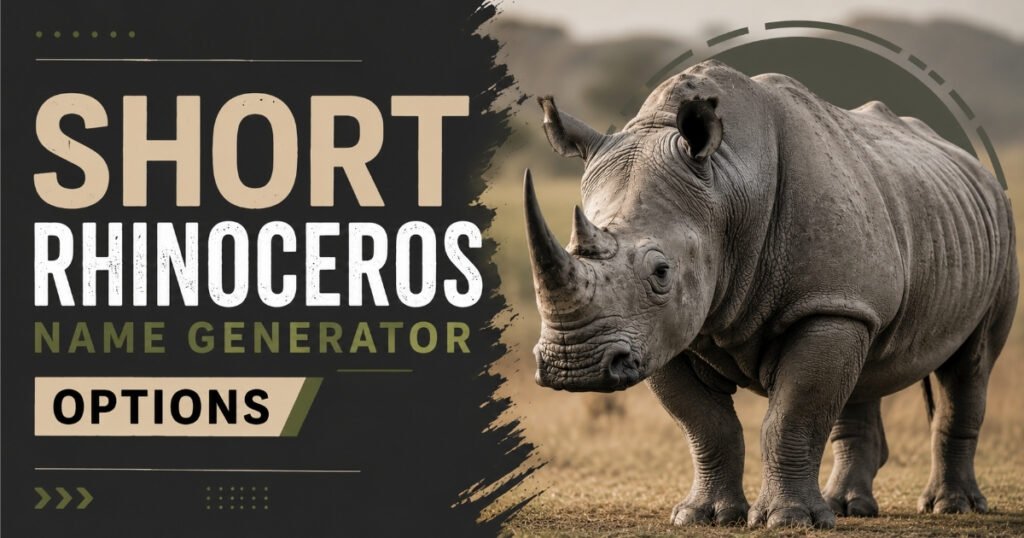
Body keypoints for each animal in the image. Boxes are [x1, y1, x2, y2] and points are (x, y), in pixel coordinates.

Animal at [525, 59, 1018, 529]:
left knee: (970, 366)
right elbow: (705, 423)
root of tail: (974, 167)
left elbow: (793, 414)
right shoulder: (661, 331)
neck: (728, 185)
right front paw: (704, 516)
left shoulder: (822, 304)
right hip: (892, 238)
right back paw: (848, 507)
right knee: (864, 359)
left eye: (661, 272)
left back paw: (951, 507)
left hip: (998, 228)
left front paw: (788, 519)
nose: (573, 366)